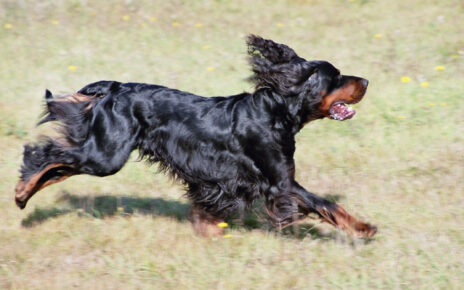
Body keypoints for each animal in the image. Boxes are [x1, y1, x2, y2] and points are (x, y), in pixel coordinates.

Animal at [14, 35, 376, 237]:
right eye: (336, 76)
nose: (366, 81)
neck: (274, 111)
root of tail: (114, 88)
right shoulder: (281, 183)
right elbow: (326, 203)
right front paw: (363, 227)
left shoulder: (228, 180)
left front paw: (208, 229)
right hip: (106, 155)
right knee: (45, 155)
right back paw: (21, 192)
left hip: (102, 152)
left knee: (59, 167)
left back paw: (25, 196)